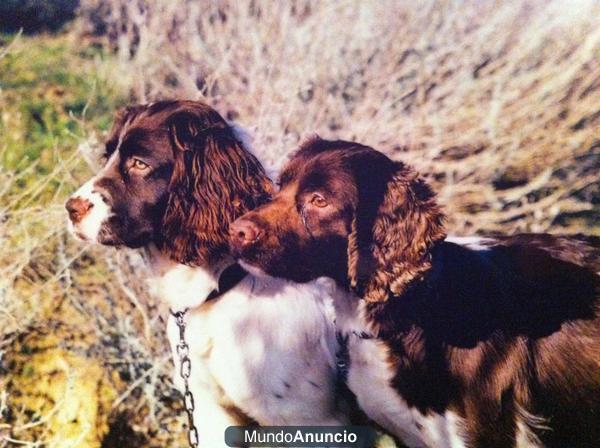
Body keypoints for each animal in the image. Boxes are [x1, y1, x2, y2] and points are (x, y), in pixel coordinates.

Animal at [65, 103, 350, 446]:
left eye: (139, 163)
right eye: (107, 156)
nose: (71, 208)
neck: (222, 286)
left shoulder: (311, 421)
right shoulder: (210, 410)